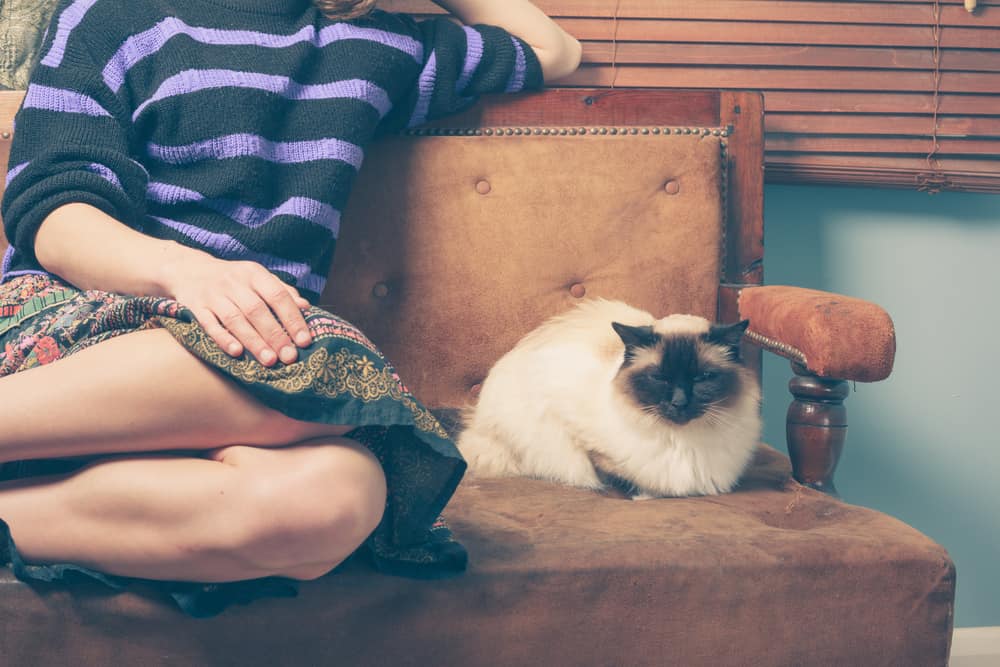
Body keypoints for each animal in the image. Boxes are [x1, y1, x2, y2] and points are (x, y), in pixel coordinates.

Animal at [458, 300, 760, 498]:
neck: (680, 441)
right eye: (659, 378)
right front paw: (644, 496)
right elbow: (619, 479)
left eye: (702, 378)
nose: (679, 403)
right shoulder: (583, 443)